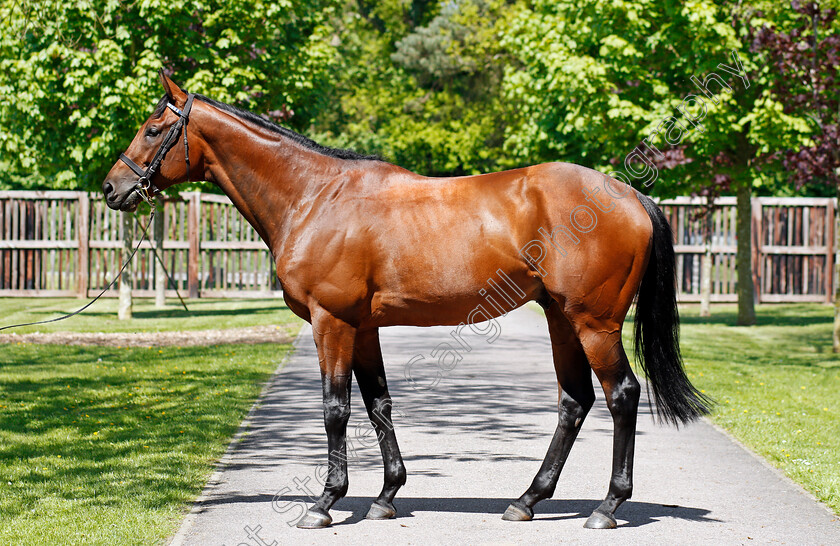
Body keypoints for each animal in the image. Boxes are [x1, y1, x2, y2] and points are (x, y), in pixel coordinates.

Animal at [103, 72, 708, 528]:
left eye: (153, 129)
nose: (113, 189)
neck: (314, 196)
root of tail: (629, 194)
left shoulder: (331, 323)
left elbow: (336, 409)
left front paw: (325, 503)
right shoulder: (363, 327)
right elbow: (378, 405)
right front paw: (386, 497)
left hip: (594, 323)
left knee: (621, 395)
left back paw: (607, 506)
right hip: (561, 318)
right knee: (574, 401)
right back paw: (527, 500)